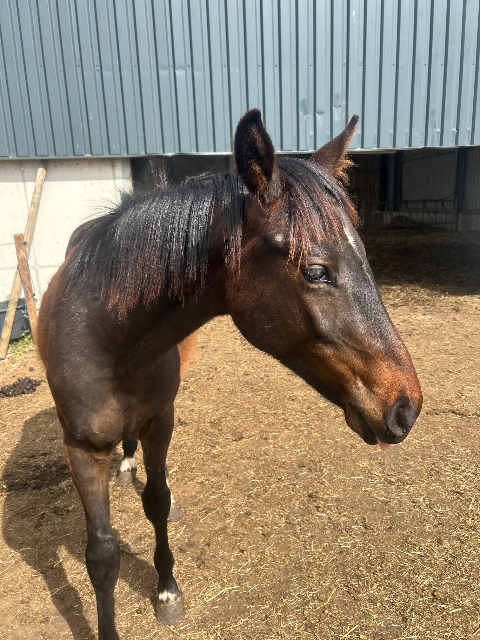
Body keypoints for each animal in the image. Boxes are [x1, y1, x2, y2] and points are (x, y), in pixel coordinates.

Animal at [37, 109, 422, 640]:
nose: (406, 407)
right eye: (316, 271)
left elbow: (156, 503)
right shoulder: (80, 449)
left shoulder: (161, 422)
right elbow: (101, 554)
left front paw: (167, 589)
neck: (107, 342)